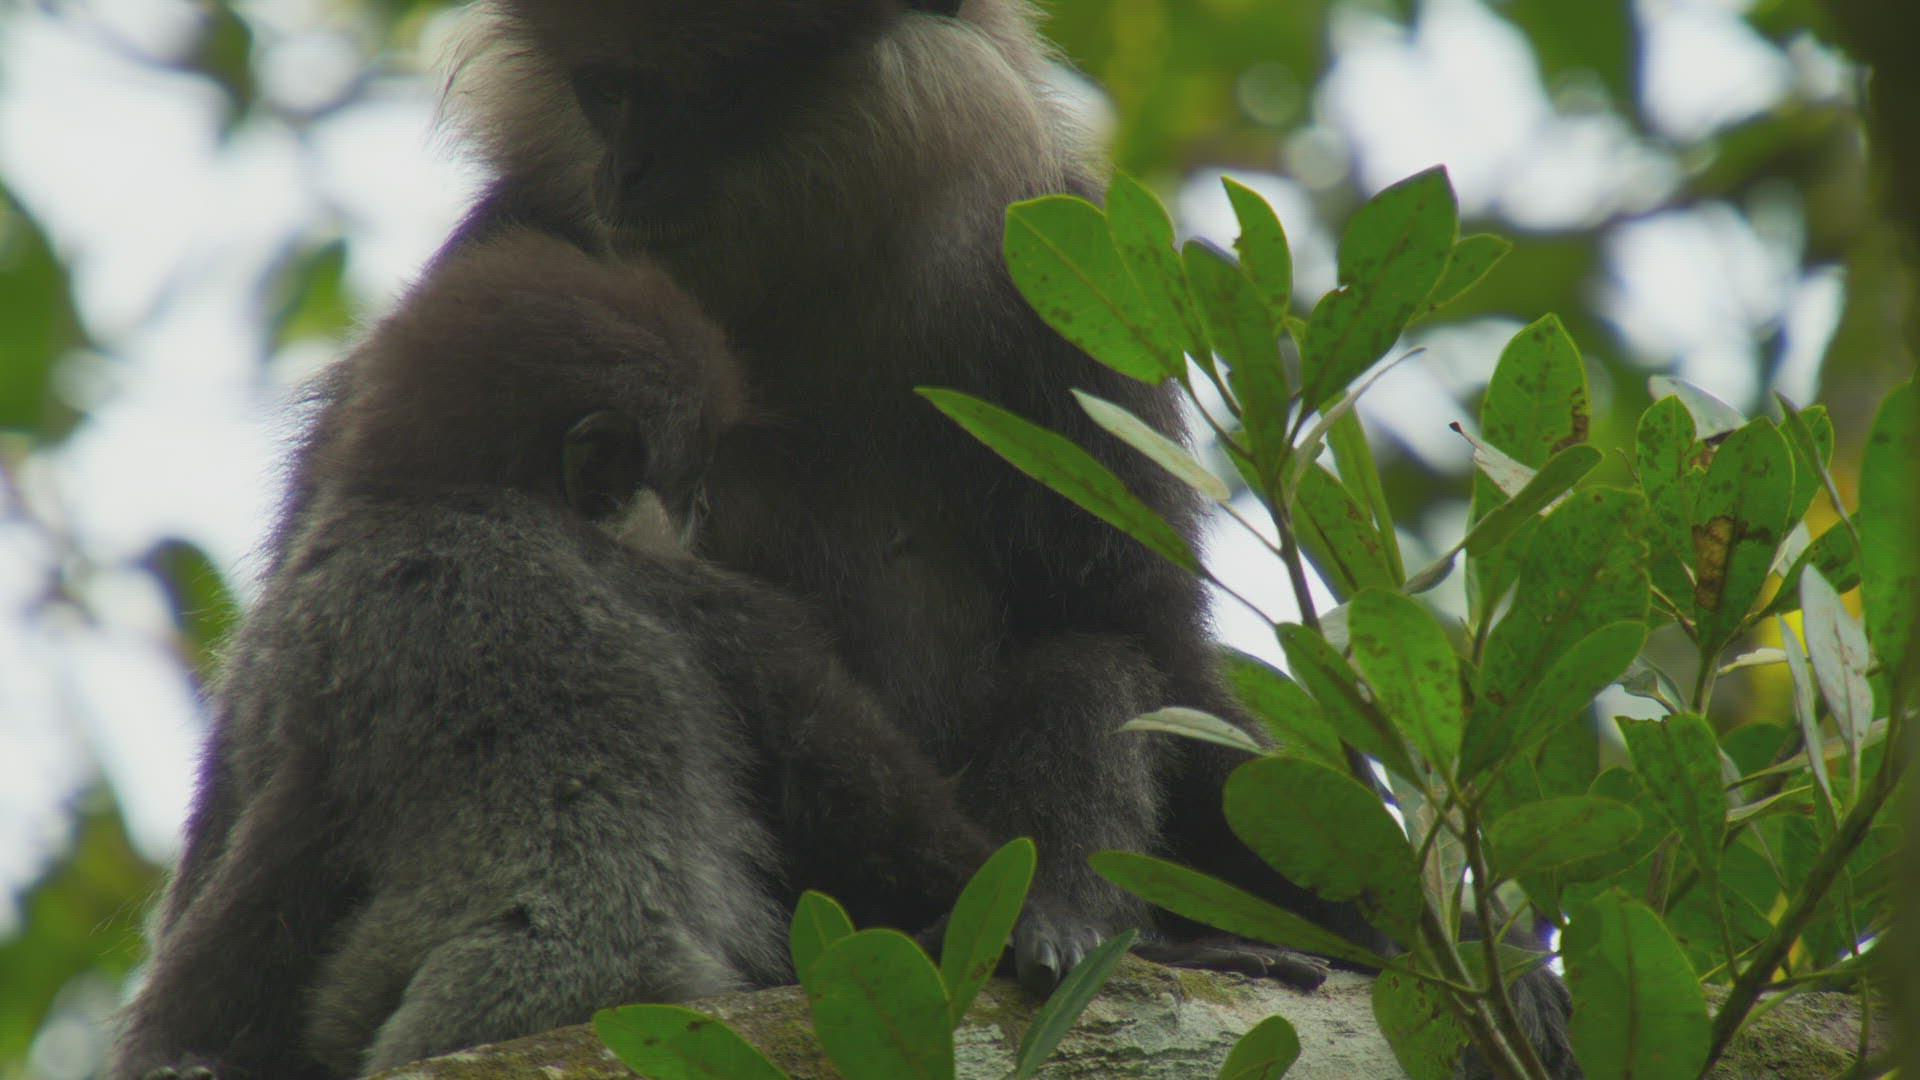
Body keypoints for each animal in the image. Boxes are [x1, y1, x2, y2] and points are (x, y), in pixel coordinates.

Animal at [433, 3, 1580, 1074]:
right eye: (608, 90)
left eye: (719, 94)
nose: (629, 171)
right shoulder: (520, 235)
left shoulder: (1049, 279)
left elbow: (1144, 633)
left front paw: (1459, 944)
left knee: (1087, 656)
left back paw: (1063, 921)